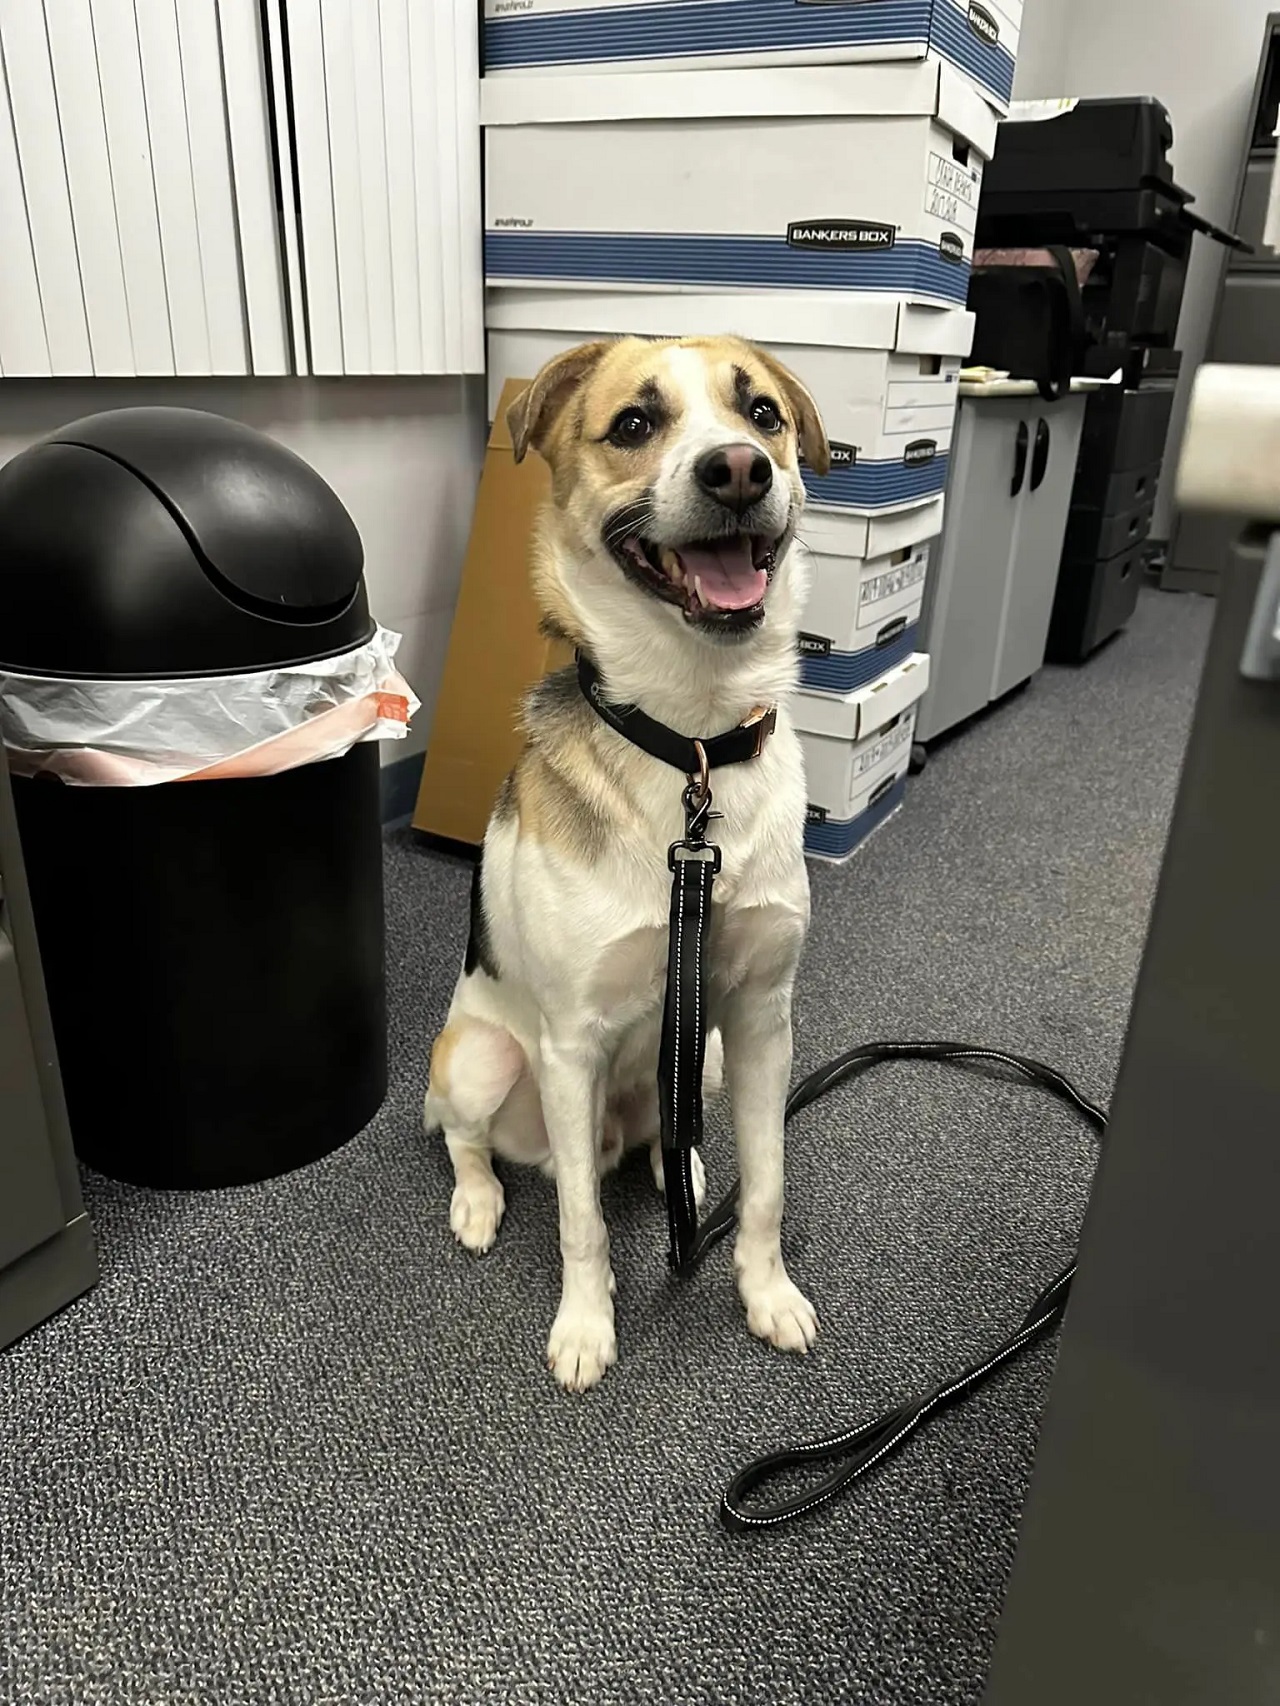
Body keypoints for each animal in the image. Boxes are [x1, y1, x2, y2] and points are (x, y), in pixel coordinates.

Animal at [426, 332, 836, 1385]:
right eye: (635, 424)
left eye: (762, 414)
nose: (740, 469)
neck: (692, 746)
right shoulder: (571, 1043)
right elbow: (582, 1222)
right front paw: (584, 1328)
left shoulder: (762, 1019)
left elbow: (767, 1186)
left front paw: (767, 1294)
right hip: (482, 1057)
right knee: (464, 1139)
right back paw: (478, 1201)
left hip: (713, 1057)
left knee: (668, 1126)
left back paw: (673, 1159)